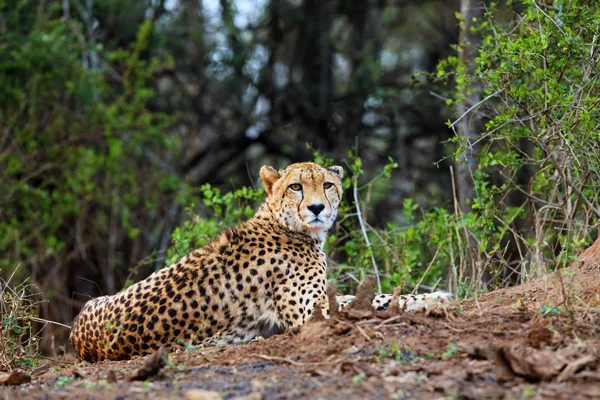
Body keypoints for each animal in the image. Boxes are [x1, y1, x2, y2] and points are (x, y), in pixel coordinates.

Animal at [71, 161, 450, 360]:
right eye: (296, 187)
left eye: (327, 185)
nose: (317, 208)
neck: (285, 225)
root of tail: (78, 335)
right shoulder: (311, 316)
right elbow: (372, 303)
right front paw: (431, 301)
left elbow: (374, 296)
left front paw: (433, 296)